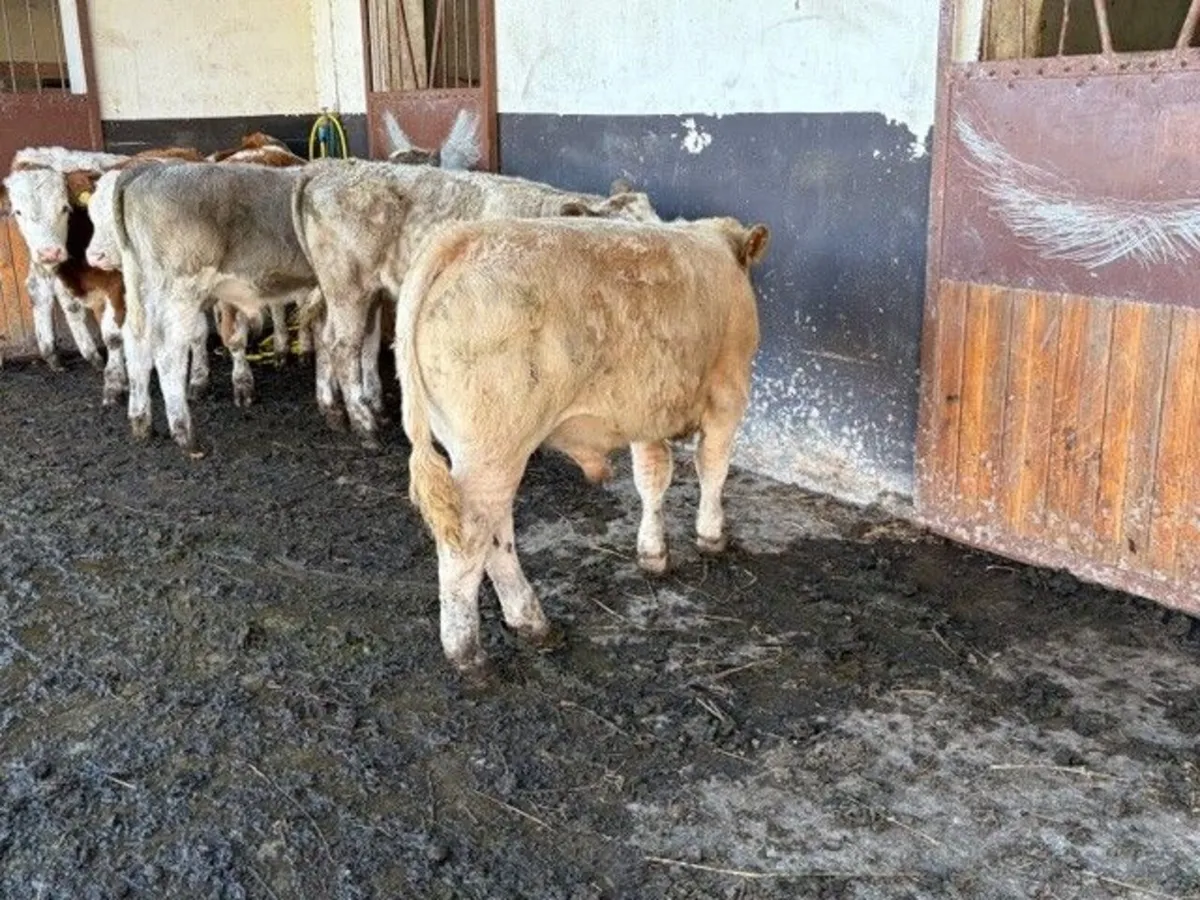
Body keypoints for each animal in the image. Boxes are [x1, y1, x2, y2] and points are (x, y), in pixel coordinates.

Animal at [291, 161, 660, 446]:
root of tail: (328, 169)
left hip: (358, 291)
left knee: (336, 336)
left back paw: (341, 409)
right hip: (348, 285)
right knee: (343, 345)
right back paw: (363, 423)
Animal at [396, 214, 770, 676]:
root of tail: (462, 237)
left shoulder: (644, 410)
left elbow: (652, 476)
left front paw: (653, 552)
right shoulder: (728, 395)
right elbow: (713, 467)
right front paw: (712, 535)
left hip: (480, 450)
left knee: (496, 532)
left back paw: (531, 622)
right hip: (493, 446)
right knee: (469, 539)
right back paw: (468, 653)